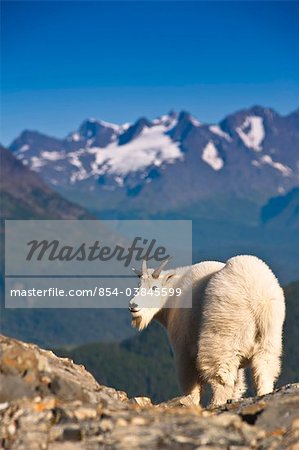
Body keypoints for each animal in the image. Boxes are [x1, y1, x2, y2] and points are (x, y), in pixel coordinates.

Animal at [129, 255, 286, 406]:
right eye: (138, 285)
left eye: (154, 288)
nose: (133, 305)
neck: (172, 297)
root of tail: (258, 299)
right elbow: (239, 383)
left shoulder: (183, 346)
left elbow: (190, 383)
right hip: (268, 337)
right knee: (264, 369)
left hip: (223, 334)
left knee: (221, 377)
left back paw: (215, 403)